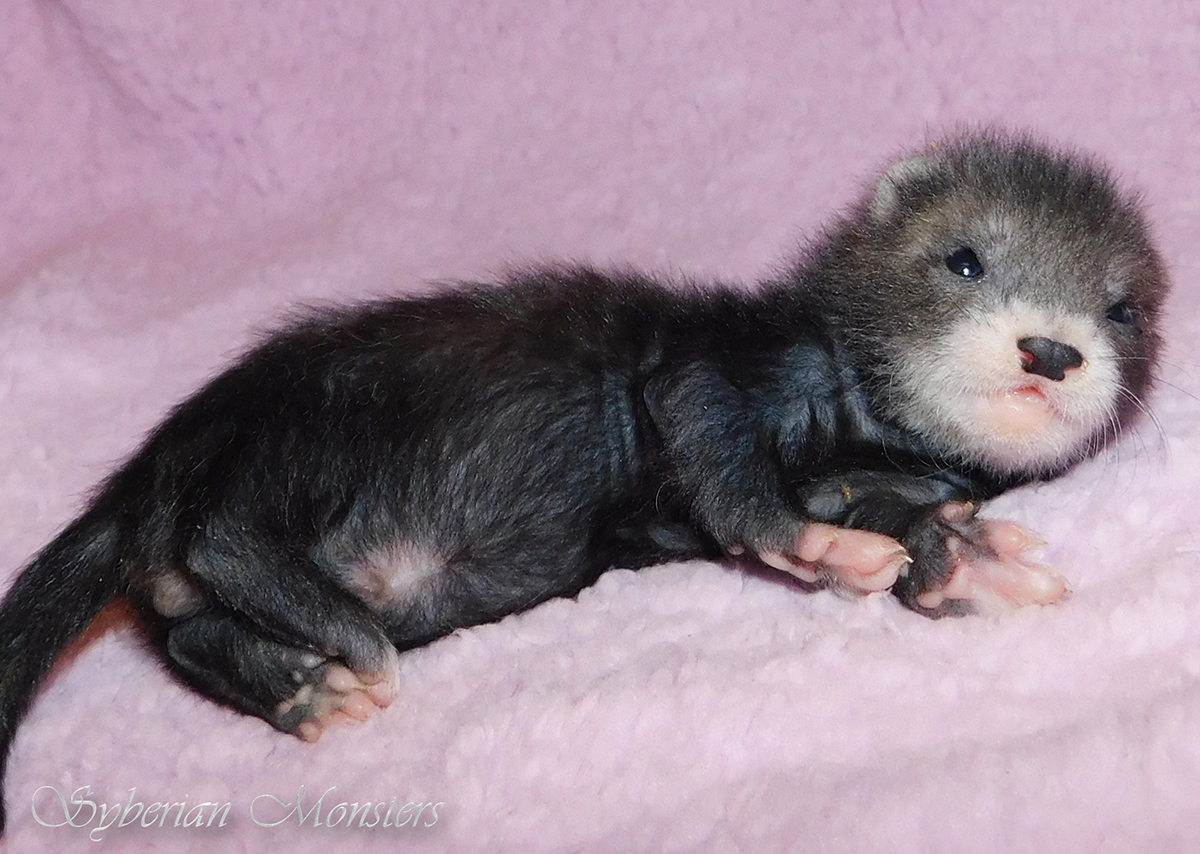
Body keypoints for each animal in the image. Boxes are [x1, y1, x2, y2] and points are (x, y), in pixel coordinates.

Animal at [0, 131, 1167, 833]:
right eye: (964, 258)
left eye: (1123, 309)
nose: (1050, 350)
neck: (855, 424)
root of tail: (149, 471)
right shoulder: (708, 370)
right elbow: (724, 457)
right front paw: (816, 545)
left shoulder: (843, 472)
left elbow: (873, 509)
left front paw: (957, 555)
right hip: (306, 427)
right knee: (224, 536)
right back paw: (339, 632)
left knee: (193, 631)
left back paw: (302, 681)